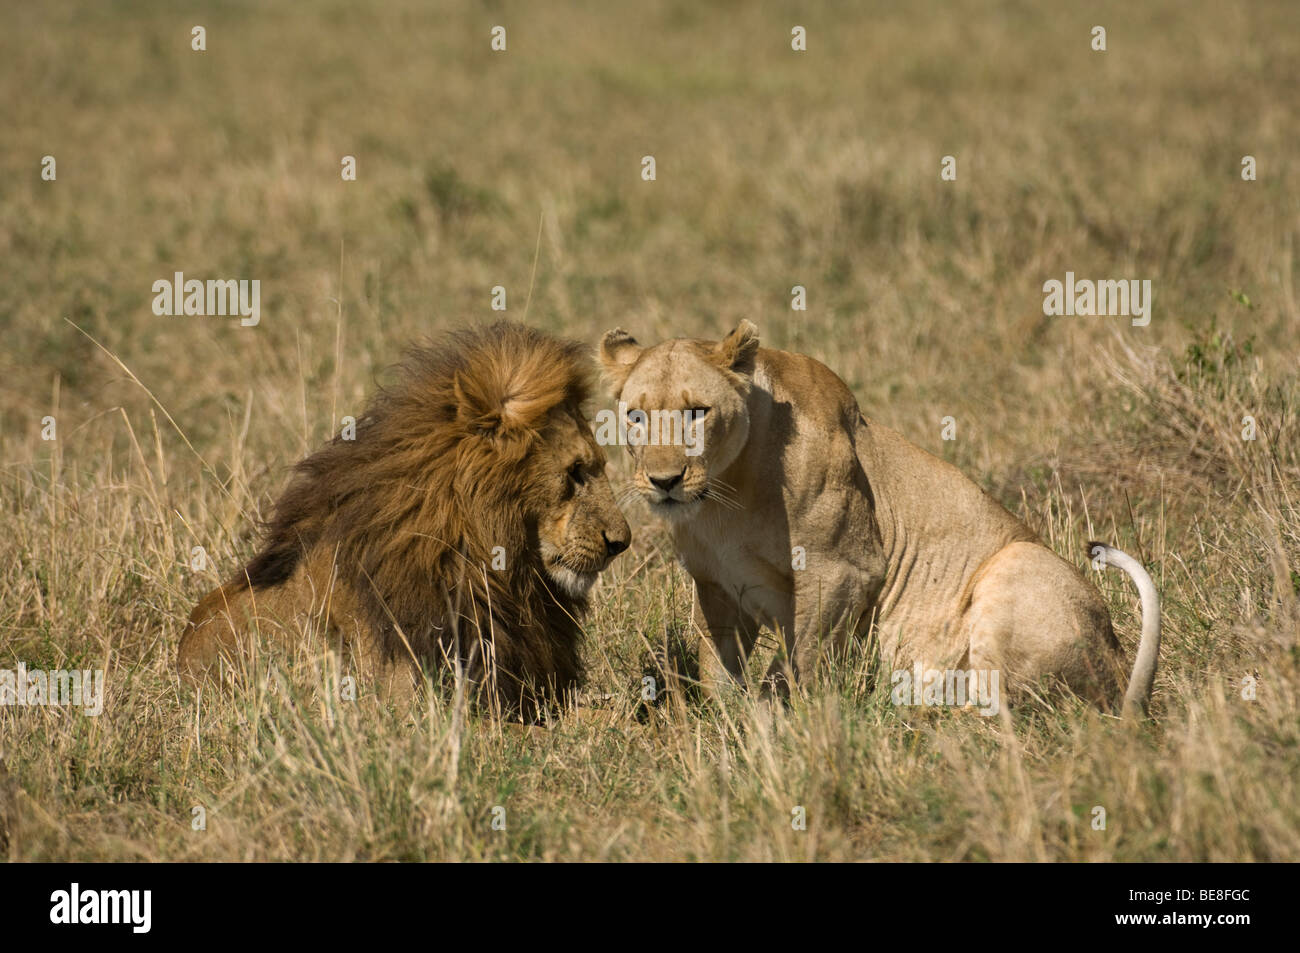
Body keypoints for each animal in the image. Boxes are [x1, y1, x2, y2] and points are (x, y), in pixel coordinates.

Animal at [599, 321, 1160, 716]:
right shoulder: (716, 585)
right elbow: (716, 670)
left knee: (1002, 715)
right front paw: (723, 725)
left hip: (1018, 563)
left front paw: (775, 719)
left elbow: (798, 660)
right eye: (636, 417)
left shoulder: (844, 569)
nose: (664, 481)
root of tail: (1119, 673)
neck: (722, 498)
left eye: (697, 413)